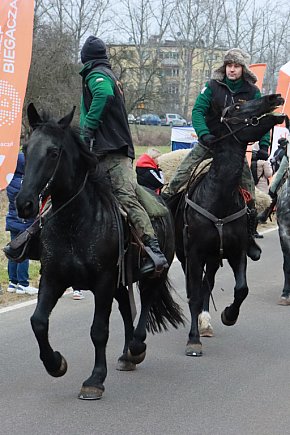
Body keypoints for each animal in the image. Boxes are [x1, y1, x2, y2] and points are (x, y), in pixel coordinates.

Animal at [15, 104, 184, 400]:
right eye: (25, 147)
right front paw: (55, 363)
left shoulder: (103, 282)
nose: (24, 204)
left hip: (153, 275)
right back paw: (127, 355)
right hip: (120, 283)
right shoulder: (53, 278)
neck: (75, 222)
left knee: (146, 304)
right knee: (128, 310)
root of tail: (162, 199)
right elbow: (38, 321)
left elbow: (99, 331)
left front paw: (95, 379)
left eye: (54, 152)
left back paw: (136, 347)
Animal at [170, 93, 286, 356]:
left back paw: (205, 321)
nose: (274, 97)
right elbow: (193, 294)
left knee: (208, 284)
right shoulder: (194, 255)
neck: (218, 198)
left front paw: (228, 315)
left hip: (214, 258)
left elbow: (241, 289)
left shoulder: (237, 251)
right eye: (237, 107)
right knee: (197, 288)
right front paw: (193, 340)